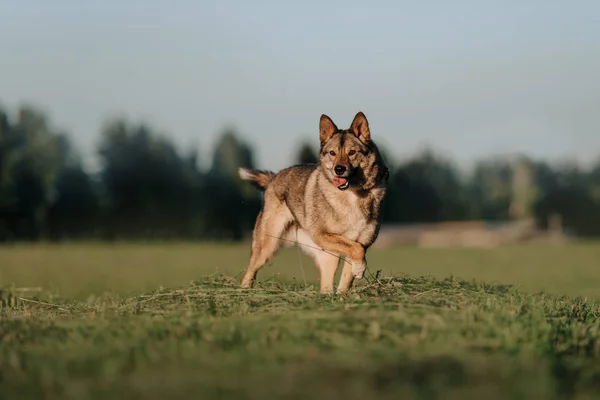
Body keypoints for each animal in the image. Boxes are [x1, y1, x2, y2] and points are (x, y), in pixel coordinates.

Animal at [239, 112, 390, 294]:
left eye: (352, 152)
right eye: (332, 153)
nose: (339, 169)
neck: (353, 194)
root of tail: (273, 178)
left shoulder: (360, 242)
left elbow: (350, 269)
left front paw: (349, 285)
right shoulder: (322, 235)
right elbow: (357, 249)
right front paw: (360, 269)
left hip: (328, 257)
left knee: (325, 286)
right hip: (268, 246)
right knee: (250, 271)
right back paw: (244, 291)